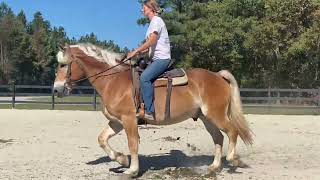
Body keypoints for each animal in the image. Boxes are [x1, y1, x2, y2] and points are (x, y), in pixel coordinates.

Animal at [52, 43, 252, 177]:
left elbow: (133, 143)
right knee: (218, 138)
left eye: (63, 64)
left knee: (232, 132)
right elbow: (102, 139)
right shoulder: (117, 122)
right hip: (206, 118)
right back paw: (214, 166)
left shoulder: (129, 120)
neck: (113, 81)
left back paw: (233, 160)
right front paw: (121, 159)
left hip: (216, 115)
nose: (56, 89)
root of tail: (217, 76)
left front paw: (132, 170)